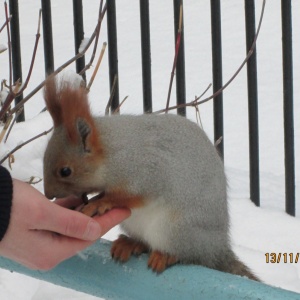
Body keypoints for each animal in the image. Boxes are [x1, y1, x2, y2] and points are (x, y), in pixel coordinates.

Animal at [42, 78, 260, 282]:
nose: (48, 194)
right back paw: (130, 243)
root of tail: (217, 248)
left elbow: (129, 196)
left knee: (190, 255)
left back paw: (166, 256)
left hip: (177, 229)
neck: (112, 153)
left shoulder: (147, 174)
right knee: (146, 244)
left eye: (65, 171)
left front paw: (101, 202)